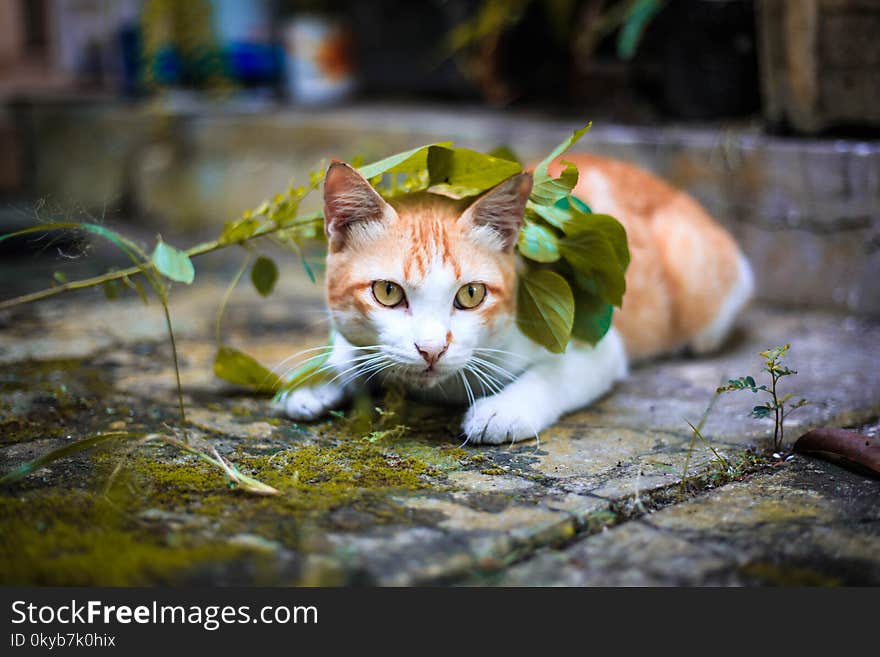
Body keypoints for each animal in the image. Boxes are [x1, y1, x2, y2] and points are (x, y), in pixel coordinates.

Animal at [278, 152, 752, 446]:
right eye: (388, 292)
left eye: (470, 294)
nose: (431, 349)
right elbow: (349, 354)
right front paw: (315, 379)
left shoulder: (598, 348)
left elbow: (554, 375)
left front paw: (503, 409)